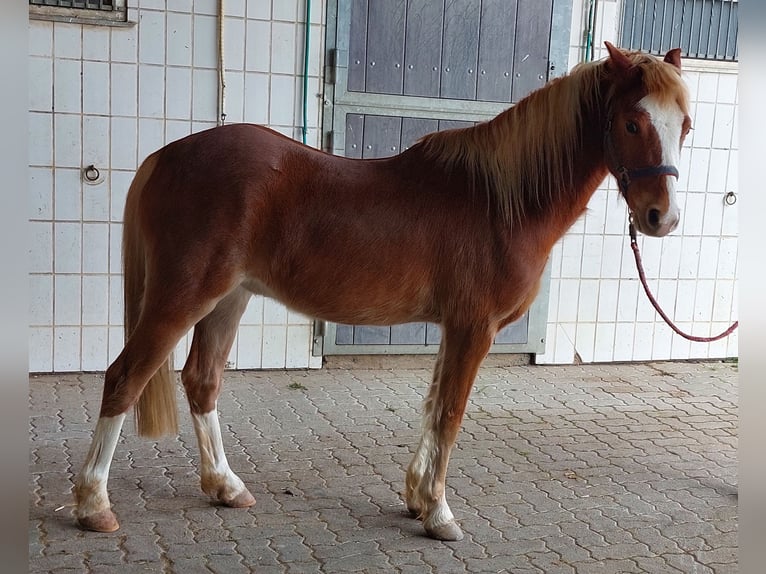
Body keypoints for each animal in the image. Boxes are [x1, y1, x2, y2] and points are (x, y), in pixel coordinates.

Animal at [75, 42, 692, 544]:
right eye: (632, 123)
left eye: (683, 124)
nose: (661, 218)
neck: (499, 201)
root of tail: (167, 156)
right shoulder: (475, 327)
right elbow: (451, 414)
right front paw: (440, 515)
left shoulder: (454, 327)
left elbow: (434, 407)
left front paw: (418, 499)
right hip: (183, 295)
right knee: (124, 378)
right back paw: (93, 505)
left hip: (229, 298)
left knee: (202, 381)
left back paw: (226, 487)